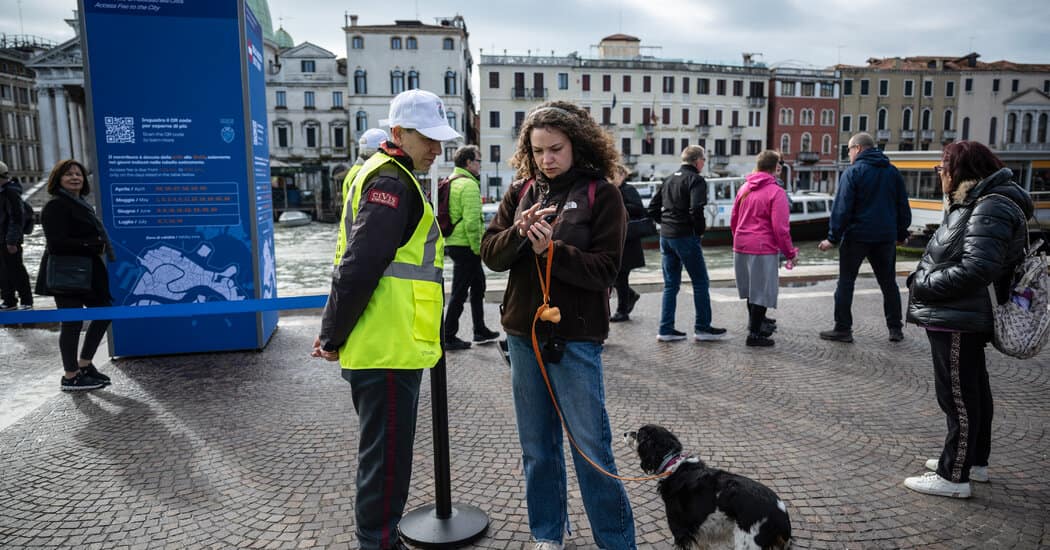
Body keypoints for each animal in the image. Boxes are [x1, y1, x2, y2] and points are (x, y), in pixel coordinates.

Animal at [621, 426, 789, 550]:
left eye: (639, 434)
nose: (624, 433)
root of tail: (781, 513)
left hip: (747, 543)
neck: (673, 465)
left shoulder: (681, 530)